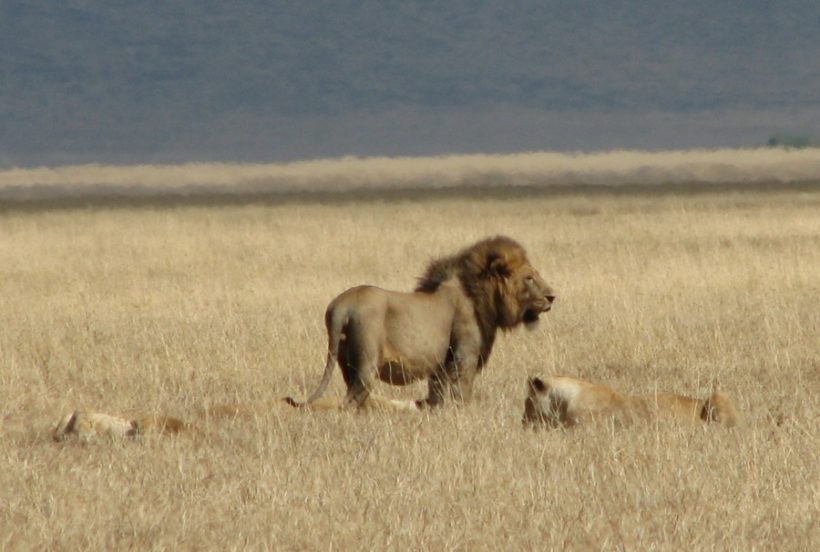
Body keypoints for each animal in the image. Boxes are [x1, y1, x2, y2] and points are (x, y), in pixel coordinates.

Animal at [286, 235, 556, 412]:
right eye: (529, 278)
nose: (552, 296)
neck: (478, 295)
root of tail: (341, 305)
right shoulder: (464, 355)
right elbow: (462, 391)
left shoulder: (441, 365)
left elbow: (437, 394)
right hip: (366, 364)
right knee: (351, 401)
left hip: (345, 362)